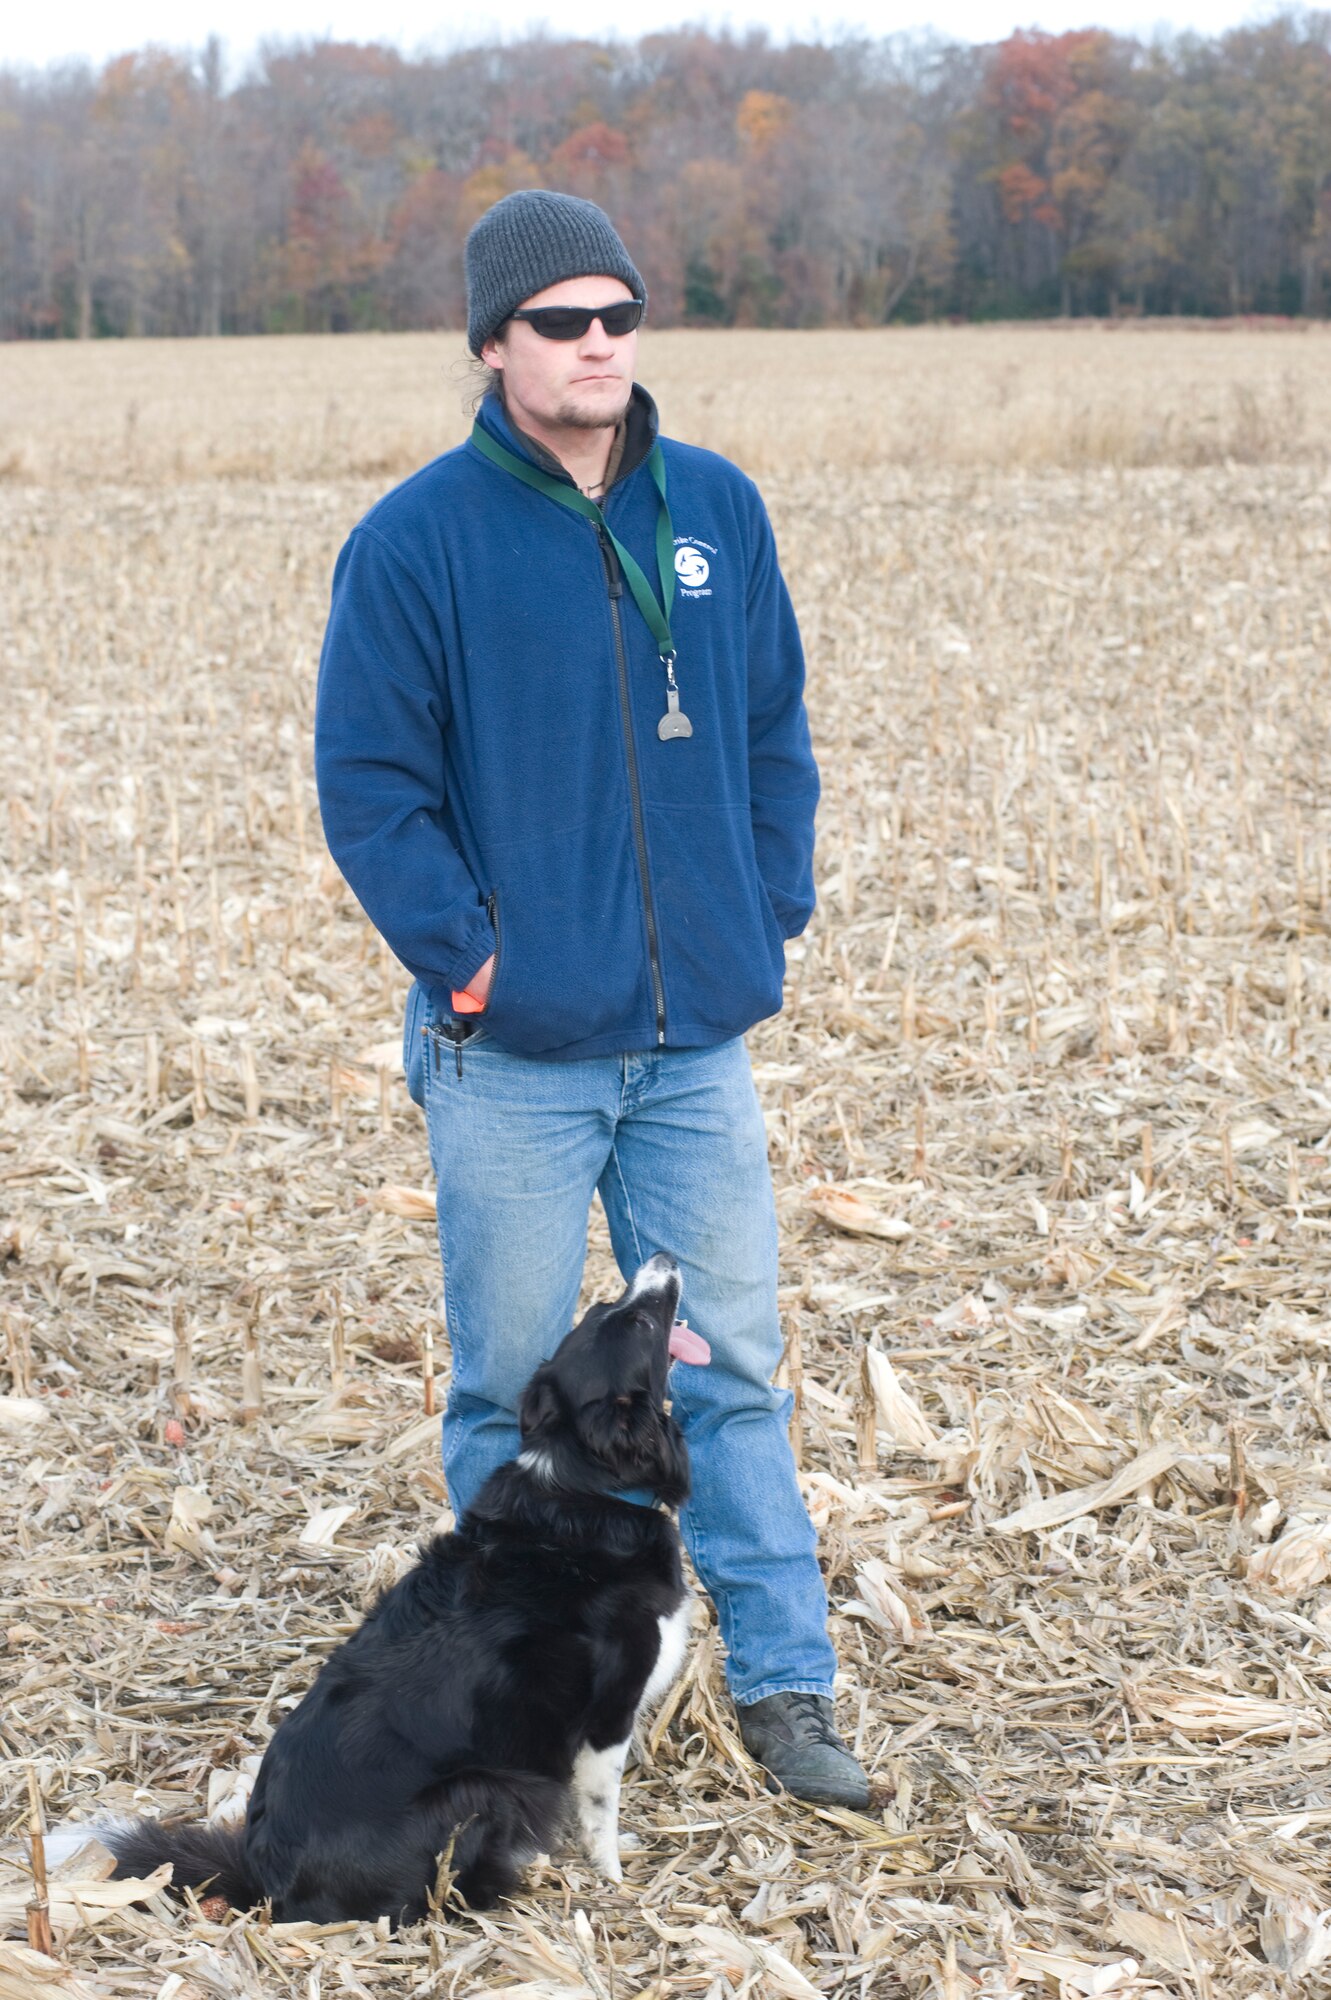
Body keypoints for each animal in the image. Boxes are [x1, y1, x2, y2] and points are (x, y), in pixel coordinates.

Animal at [85, 1256, 703, 1928]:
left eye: (603, 1311)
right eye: (640, 1324)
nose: (664, 1260)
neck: (583, 1480)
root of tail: (266, 1882)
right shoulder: (609, 1713)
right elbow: (599, 1808)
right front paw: (612, 1878)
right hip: (484, 1787)